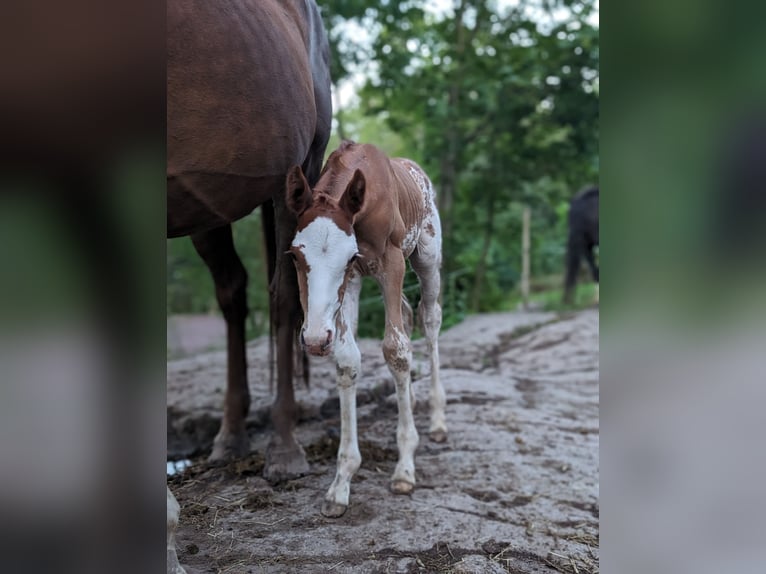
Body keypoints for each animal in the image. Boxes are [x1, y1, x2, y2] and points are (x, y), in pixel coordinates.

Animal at [166, 0, 332, 476]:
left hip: (296, 177)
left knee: (284, 296)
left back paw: (284, 446)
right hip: (205, 208)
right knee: (232, 293)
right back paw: (231, 436)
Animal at [284, 142, 448, 520]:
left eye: (345, 257)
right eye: (295, 256)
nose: (313, 339)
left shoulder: (389, 261)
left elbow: (395, 350)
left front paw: (405, 467)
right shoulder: (355, 278)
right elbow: (347, 359)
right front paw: (341, 482)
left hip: (426, 254)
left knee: (429, 318)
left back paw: (437, 420)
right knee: (407, 313)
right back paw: (412, 401)